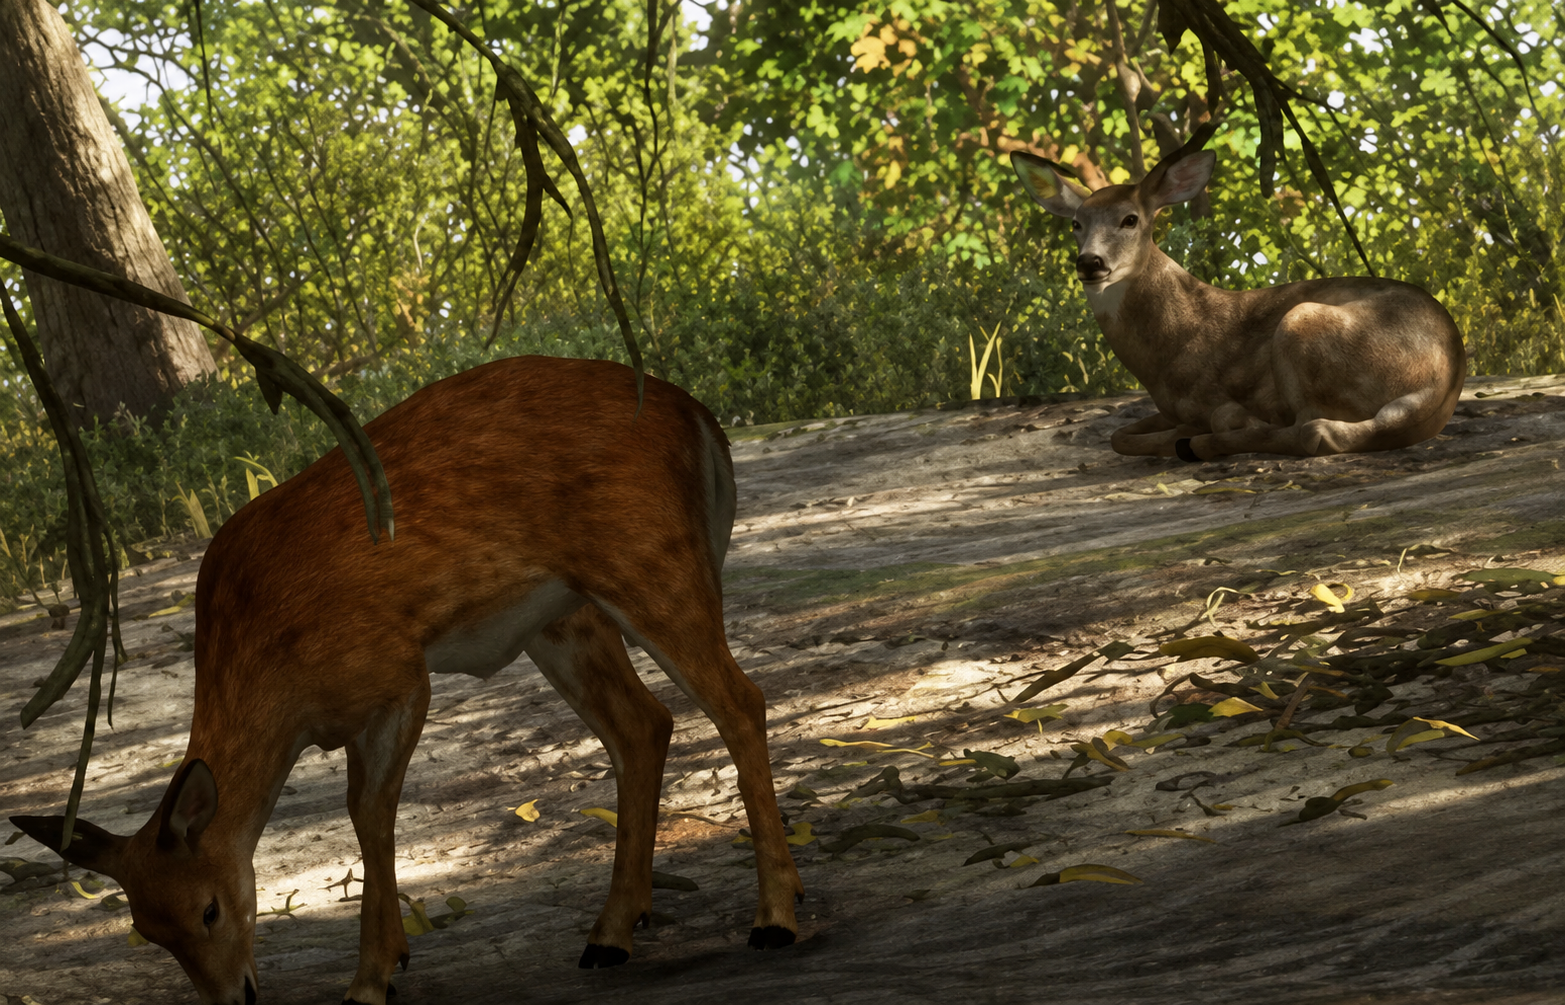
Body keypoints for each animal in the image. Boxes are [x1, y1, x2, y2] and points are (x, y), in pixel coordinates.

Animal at [11, 355, 804, 1005]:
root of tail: (701, 421)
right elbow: (368, 814)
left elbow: (369, 812)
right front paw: (390, 961)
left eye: (208, 907)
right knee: (643, 724)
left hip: (650, 563)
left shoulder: (396, 671)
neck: (271, 670)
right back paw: (611, 934)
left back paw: (775, 919)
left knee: (738, 699)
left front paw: (371, 978)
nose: (234, 998)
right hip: (563, 618)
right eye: (148, 930)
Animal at [1011, 141, 1465, 461]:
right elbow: (1117, 436)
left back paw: (1202, 443)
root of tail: (1443, 374)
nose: (1090, 262)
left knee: (1312, 430)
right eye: (1076, 224)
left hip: (1301, 321)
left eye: (1130, 219)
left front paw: (1192, 435)